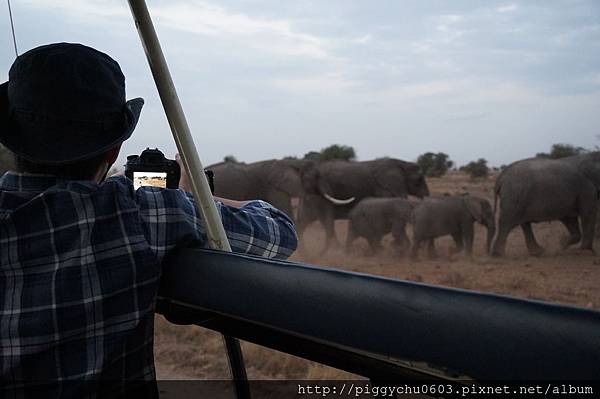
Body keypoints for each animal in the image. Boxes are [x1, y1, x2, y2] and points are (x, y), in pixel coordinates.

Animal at [296, 158, 428, 252]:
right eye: (419, 179)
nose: (426, 195)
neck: (402, 164)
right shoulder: (386, 188)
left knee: (305, 221)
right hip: (318, 198)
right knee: (320, 221)